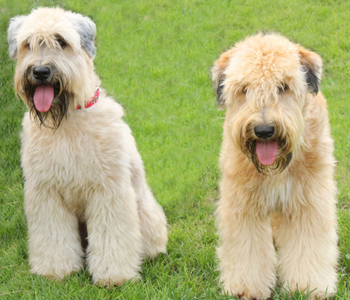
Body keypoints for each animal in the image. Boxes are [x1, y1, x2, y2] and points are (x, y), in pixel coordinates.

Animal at [7, 7, 167, 286]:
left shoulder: (108, 191)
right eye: (28, 43)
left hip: (145, 215)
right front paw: (55, 270)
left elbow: (112, 236)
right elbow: (53, 236)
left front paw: (114, 276)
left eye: (61, 41)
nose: (40, 71)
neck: (67, 121)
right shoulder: (46, 192)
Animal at [212, 33, 338, 300]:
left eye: (283, 86)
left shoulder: (309, 201)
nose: (264, 130)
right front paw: (246, 287)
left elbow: (309, 244)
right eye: (244, 89)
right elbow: (248, 249)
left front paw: (309, 285)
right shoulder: (244, 205)